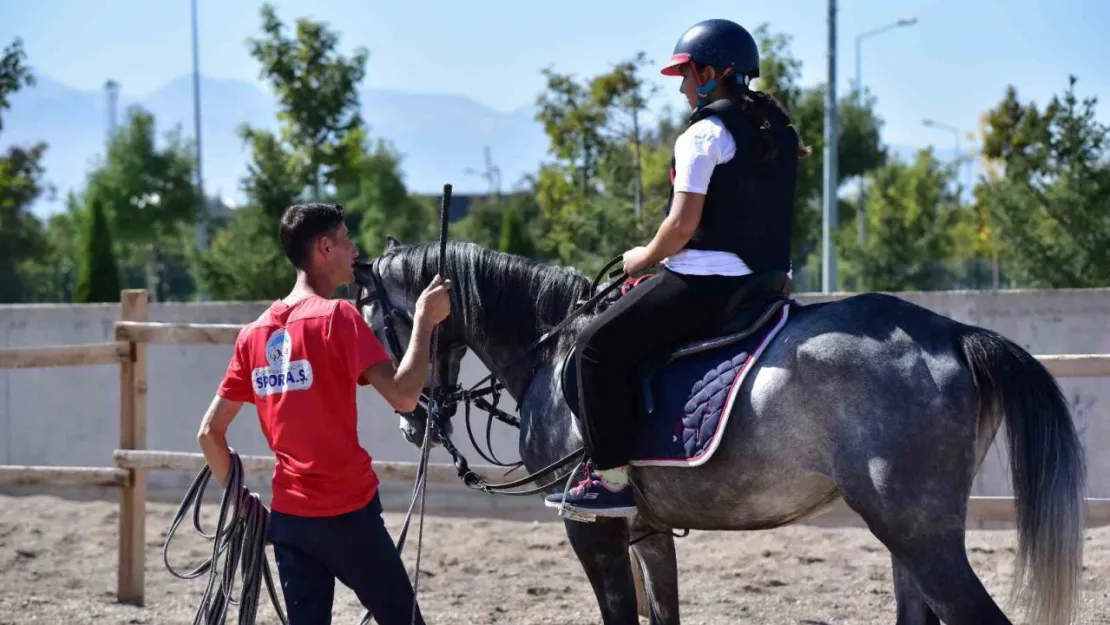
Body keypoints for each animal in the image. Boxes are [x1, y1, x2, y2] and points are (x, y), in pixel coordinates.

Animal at [357, 239, 1083, 625]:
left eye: (373, 320)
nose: (412, 418)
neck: (553, 347)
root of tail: (955, 334)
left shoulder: (590, 528)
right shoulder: (644, 529)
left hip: (920, 534)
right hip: (909, 537)